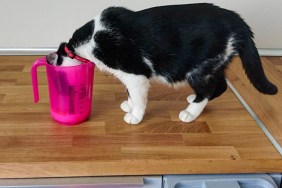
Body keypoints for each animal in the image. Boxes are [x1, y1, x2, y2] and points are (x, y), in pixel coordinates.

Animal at [46, 2, 278, 125]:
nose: (48, 58)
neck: (90, 39)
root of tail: (237, 21)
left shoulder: (135, 73)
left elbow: (138, 96)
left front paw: (135, 115)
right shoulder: (128, 76)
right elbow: (130, 93)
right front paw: (129, 104)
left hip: (198, 69)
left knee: (206, 91)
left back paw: (190, 113)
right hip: (215, 63)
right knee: (220, 86)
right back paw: (193, 100)